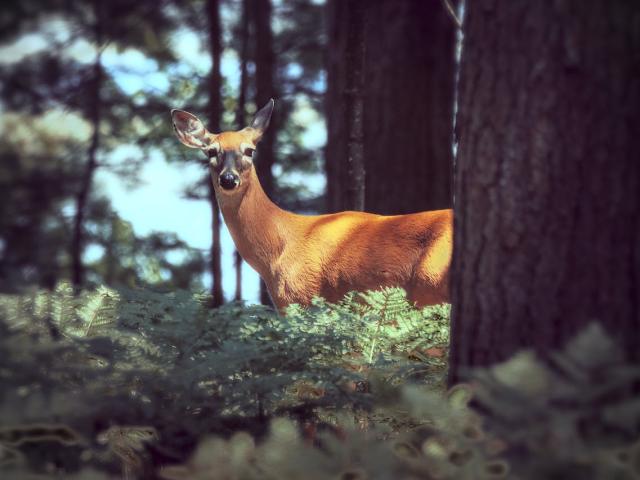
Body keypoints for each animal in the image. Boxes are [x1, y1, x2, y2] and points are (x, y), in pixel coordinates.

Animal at [170, 101, 450, 312]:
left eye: (249, 150)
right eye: (210, 152)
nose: (228, 179)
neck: (278, 250)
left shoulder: (302, 297)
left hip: (431, 286)